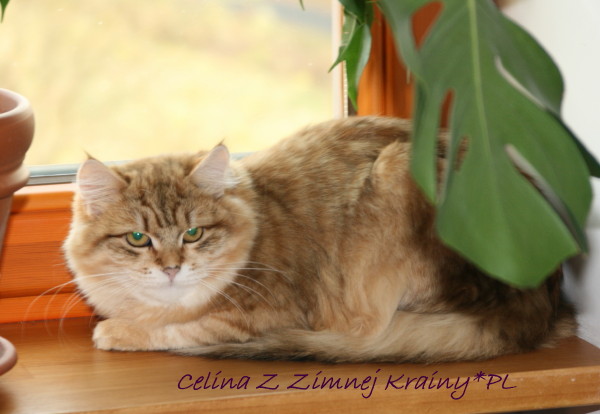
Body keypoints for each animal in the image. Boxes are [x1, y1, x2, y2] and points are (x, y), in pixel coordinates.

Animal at [63, 116, 575, 363]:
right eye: (137, 238)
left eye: (193, 233)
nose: (172, 268)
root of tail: (543, 298)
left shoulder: (268, 315)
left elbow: (180, 329)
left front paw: (116, 332)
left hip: (396, 176)